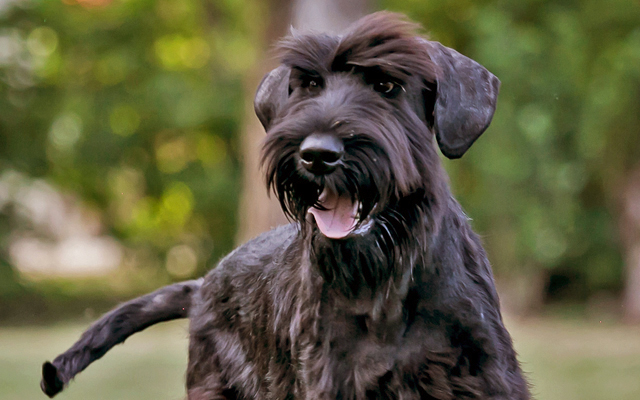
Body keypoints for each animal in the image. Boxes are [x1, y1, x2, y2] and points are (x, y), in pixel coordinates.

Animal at [38, 12, 528, 400]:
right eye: (309, 84)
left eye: (387, 85)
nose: (317, 154)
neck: (386, 290)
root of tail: (203, 286)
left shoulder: (485, 376)